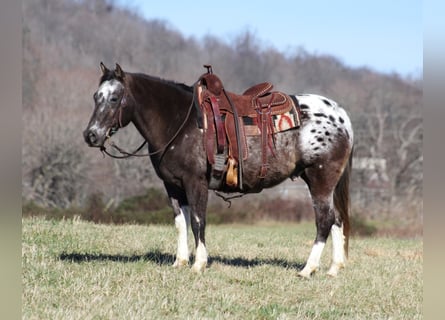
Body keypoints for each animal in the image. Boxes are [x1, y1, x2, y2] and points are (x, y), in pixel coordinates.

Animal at [83, 63, 354, 278]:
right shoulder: (172, 186)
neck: (181, 123)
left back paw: (308, 269)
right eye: (96, 96)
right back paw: (333, 268)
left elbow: (197, 221)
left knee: (324, 220)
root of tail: (340, 116)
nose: (91, 135)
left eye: (114, 98)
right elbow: (180, 223)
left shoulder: (196, 182)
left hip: (320, 180)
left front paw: (199, 264)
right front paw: (180, 262)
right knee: (337, 219)